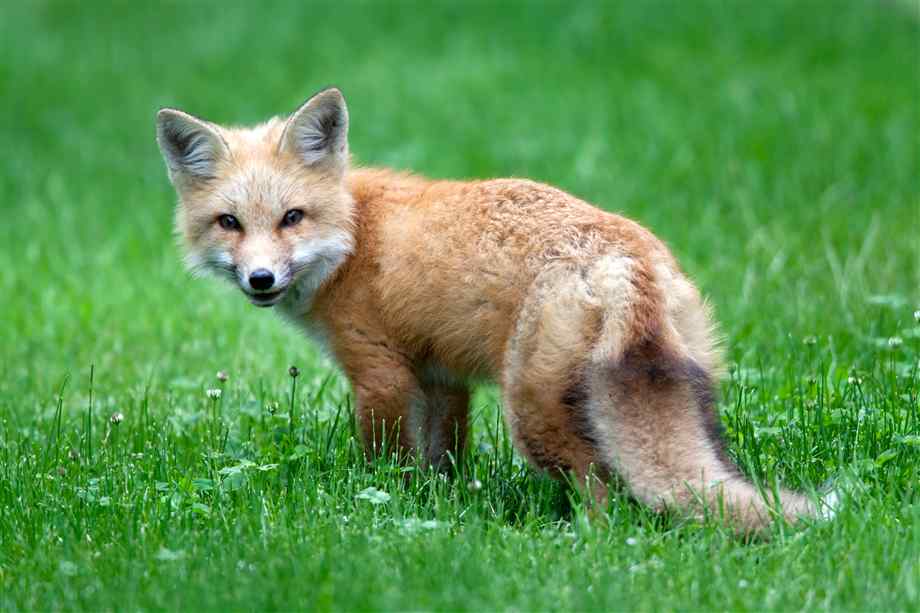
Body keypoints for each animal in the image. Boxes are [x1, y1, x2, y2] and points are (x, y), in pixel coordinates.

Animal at [155, 87, 833, 533]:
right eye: (229, 223)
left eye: (292, 217)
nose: (260, 279)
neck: (354, 234)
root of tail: (623, 255)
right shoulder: (439, 378)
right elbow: (442, 462)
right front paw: (438, 508)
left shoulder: (379, 374)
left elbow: (387, 469)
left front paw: (382, 511)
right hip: (685, 391)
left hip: (533, 413)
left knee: (602, 491)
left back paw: (588, 544)